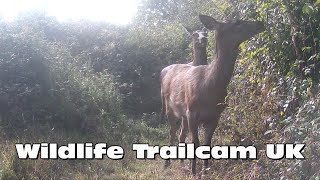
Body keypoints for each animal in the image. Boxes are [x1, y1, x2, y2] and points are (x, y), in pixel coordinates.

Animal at [160, 14, 264, 175]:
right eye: (237, 22)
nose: (261, 23)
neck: (209, 87)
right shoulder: (192, 111)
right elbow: (195, 142)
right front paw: (194, 172)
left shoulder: (215, 115)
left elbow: (207, 144)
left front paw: (206, 171)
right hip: (169, 107)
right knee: (172, 133)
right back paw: (167, 165)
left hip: (182, 114)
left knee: (181, 134)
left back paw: (182, 162)